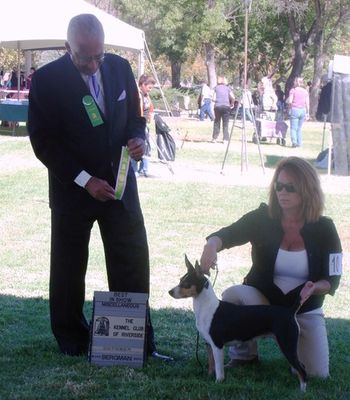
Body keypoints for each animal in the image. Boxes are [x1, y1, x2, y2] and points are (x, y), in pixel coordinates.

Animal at [169, 256, 306, 390]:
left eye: (186, 284)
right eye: (180, 280)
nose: (170, 292)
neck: (206, 307)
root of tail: (290, 311)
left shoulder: (217, 345)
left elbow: (219, 368)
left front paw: (218, 383)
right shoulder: (209, 344)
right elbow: (211, 364)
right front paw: (209, 378)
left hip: (287, 345)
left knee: (302, 369)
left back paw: (302, 391)